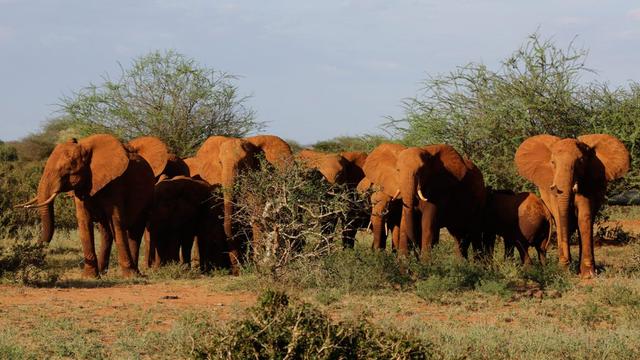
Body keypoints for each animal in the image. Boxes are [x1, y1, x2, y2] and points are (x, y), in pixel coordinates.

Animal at [16, 134, 168, 278]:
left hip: (147, 197)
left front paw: (128, 276)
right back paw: (103, 272)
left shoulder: (115, 184)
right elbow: (84, 222)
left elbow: (117, 221)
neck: (86, 147)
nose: (38, 245)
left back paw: (136, 273)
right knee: (106, 231)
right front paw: (90, 277)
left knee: (135, 231)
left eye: (68, 169)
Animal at [516, 134, 632, 278]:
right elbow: (560, 217)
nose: (565, 264)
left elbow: (584, 216)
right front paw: (564, 270)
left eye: (581, 162)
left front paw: (588, 275)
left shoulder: (588, 183)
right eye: (552, 162)